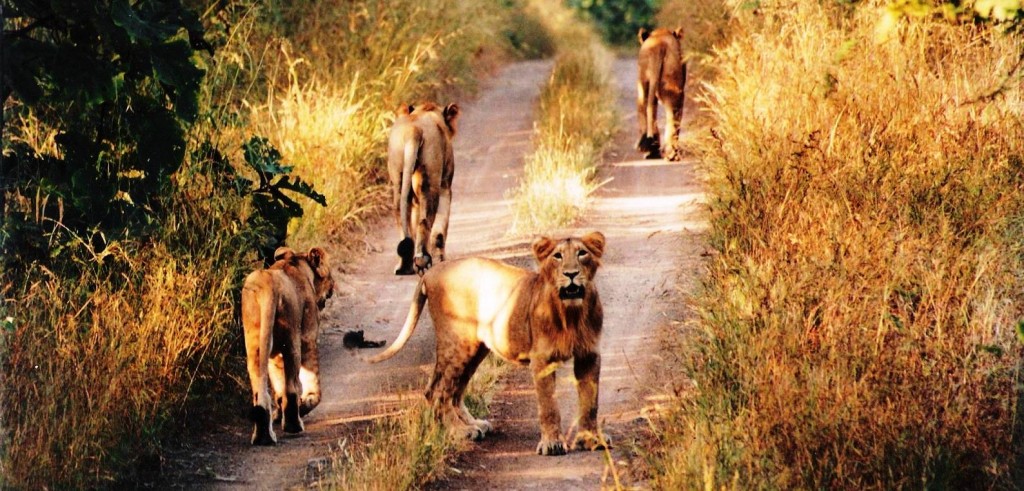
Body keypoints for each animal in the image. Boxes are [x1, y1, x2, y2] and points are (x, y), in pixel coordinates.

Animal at [240, 246, 333, 446]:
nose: (333, 288)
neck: (297, 263)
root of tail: (266, 285)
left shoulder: (274, 356)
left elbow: (278, 387)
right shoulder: (308, 338)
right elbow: (313, 382)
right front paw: (306, 404)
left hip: (255, 341)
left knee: (260, 391)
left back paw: (263, 436)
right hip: (292, 341)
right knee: (291, 387)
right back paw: (293, 425)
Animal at [366, 232, 610, 455]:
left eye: (582, 253)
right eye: (557, 256)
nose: (571, 274)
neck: (572, 313)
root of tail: (430, 273)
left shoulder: (589, 354)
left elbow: (591, 402)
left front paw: (591, 439)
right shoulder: (542, 359)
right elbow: (549, 405)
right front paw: (552, 444)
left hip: (474, 348)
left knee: (453, 391)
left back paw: (470, 425)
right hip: (457, 343)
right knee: (436, 391)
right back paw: (459, 431)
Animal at [387, 100, 460, 276]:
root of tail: (414, 130)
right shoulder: (445, 186)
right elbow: (440, 228)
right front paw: (441, 259)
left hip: (398, 179)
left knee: (401, 217)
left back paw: (405, 267)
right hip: (430, 180)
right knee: (425, 220)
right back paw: (422, 261)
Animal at [630, 26, 688, 160]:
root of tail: (659, 45)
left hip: (644, 83)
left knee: (646, 108)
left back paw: (651, 151)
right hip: (674, 88)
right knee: (672, 115)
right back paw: (671, 153)